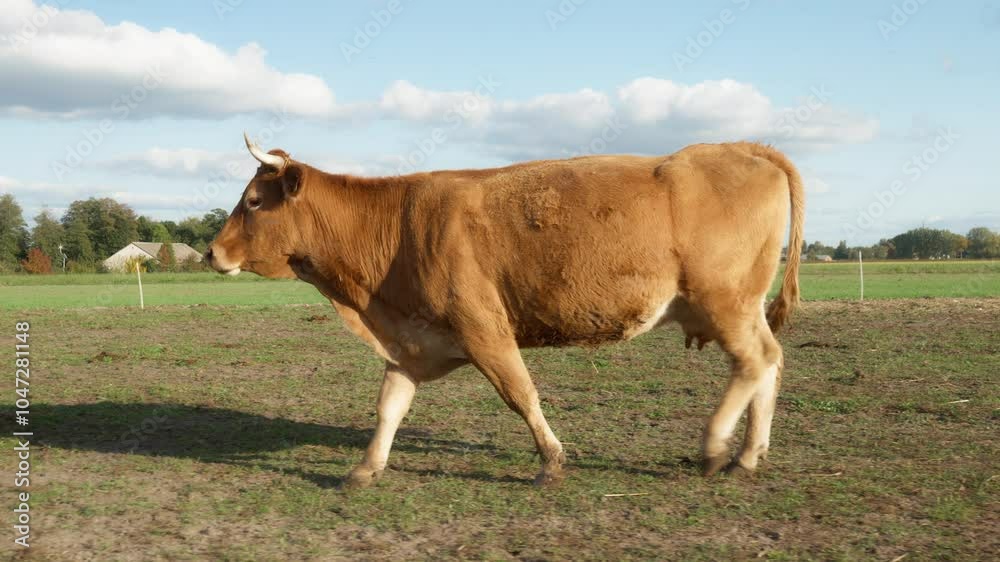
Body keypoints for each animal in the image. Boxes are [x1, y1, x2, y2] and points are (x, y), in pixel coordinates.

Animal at [205, 133, 804, 488]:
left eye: (253, 201)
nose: (212, 253)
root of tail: (741, 146)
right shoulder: (411, 340)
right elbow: (389, 407)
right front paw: (366, 467)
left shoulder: (483, 329)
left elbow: (521, 394)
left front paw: (551, 461)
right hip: (739, 307)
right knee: (770, 362)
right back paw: (750, 453)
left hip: (724, 302)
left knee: (754, 362)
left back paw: (715, 448)